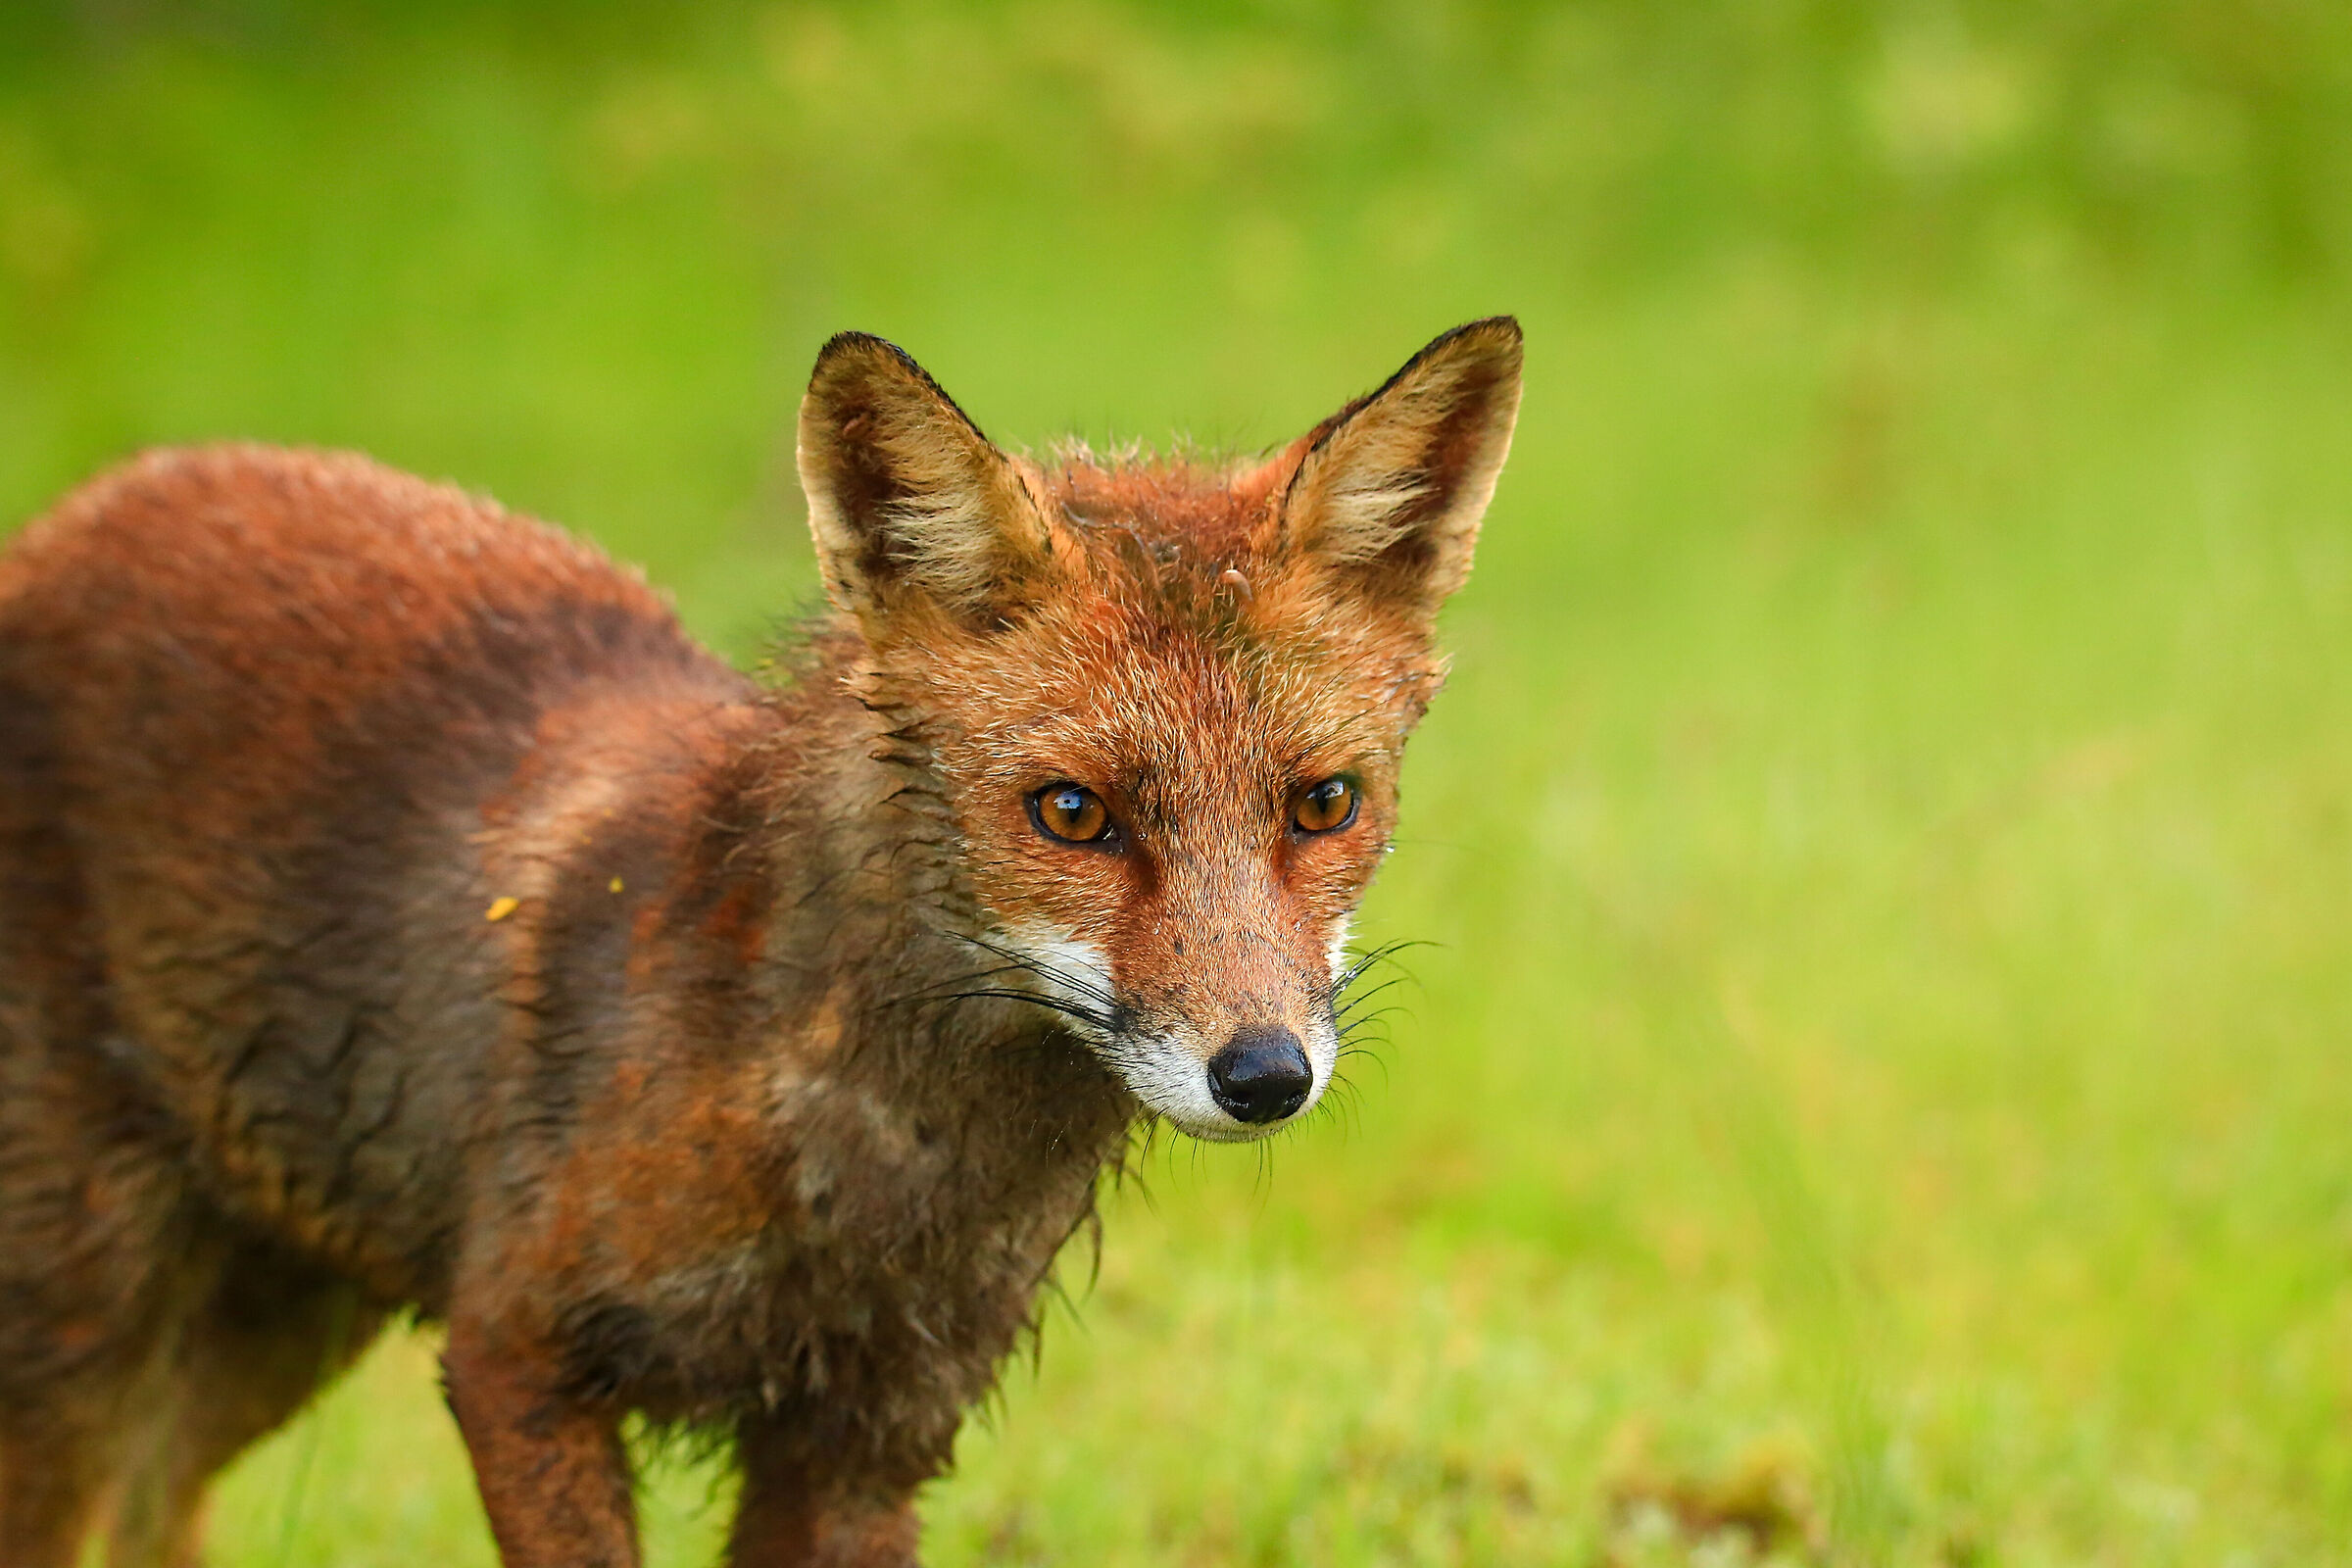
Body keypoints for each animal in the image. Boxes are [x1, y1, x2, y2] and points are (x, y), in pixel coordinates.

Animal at [0, 317, 1521, 1566]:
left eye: (1324, 804)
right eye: (1073, 813)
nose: (1263, 1075)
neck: (863, 1183)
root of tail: (99, 498)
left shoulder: (866, 1442)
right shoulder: (512, 1356)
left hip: (281, 1317)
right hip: (83, 1310)